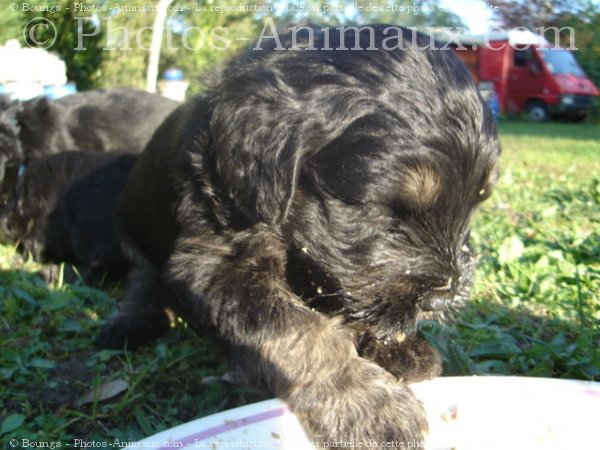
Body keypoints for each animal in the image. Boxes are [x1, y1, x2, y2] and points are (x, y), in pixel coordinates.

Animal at [102, 26, 502, 444]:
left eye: (476, 203)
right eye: (384, 209)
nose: (442, 300)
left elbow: (347, 295)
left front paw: (395, 346)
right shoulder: (215, 261)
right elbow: (299, 331)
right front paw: (367, 403)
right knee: (143, 282)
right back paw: (129, 323)